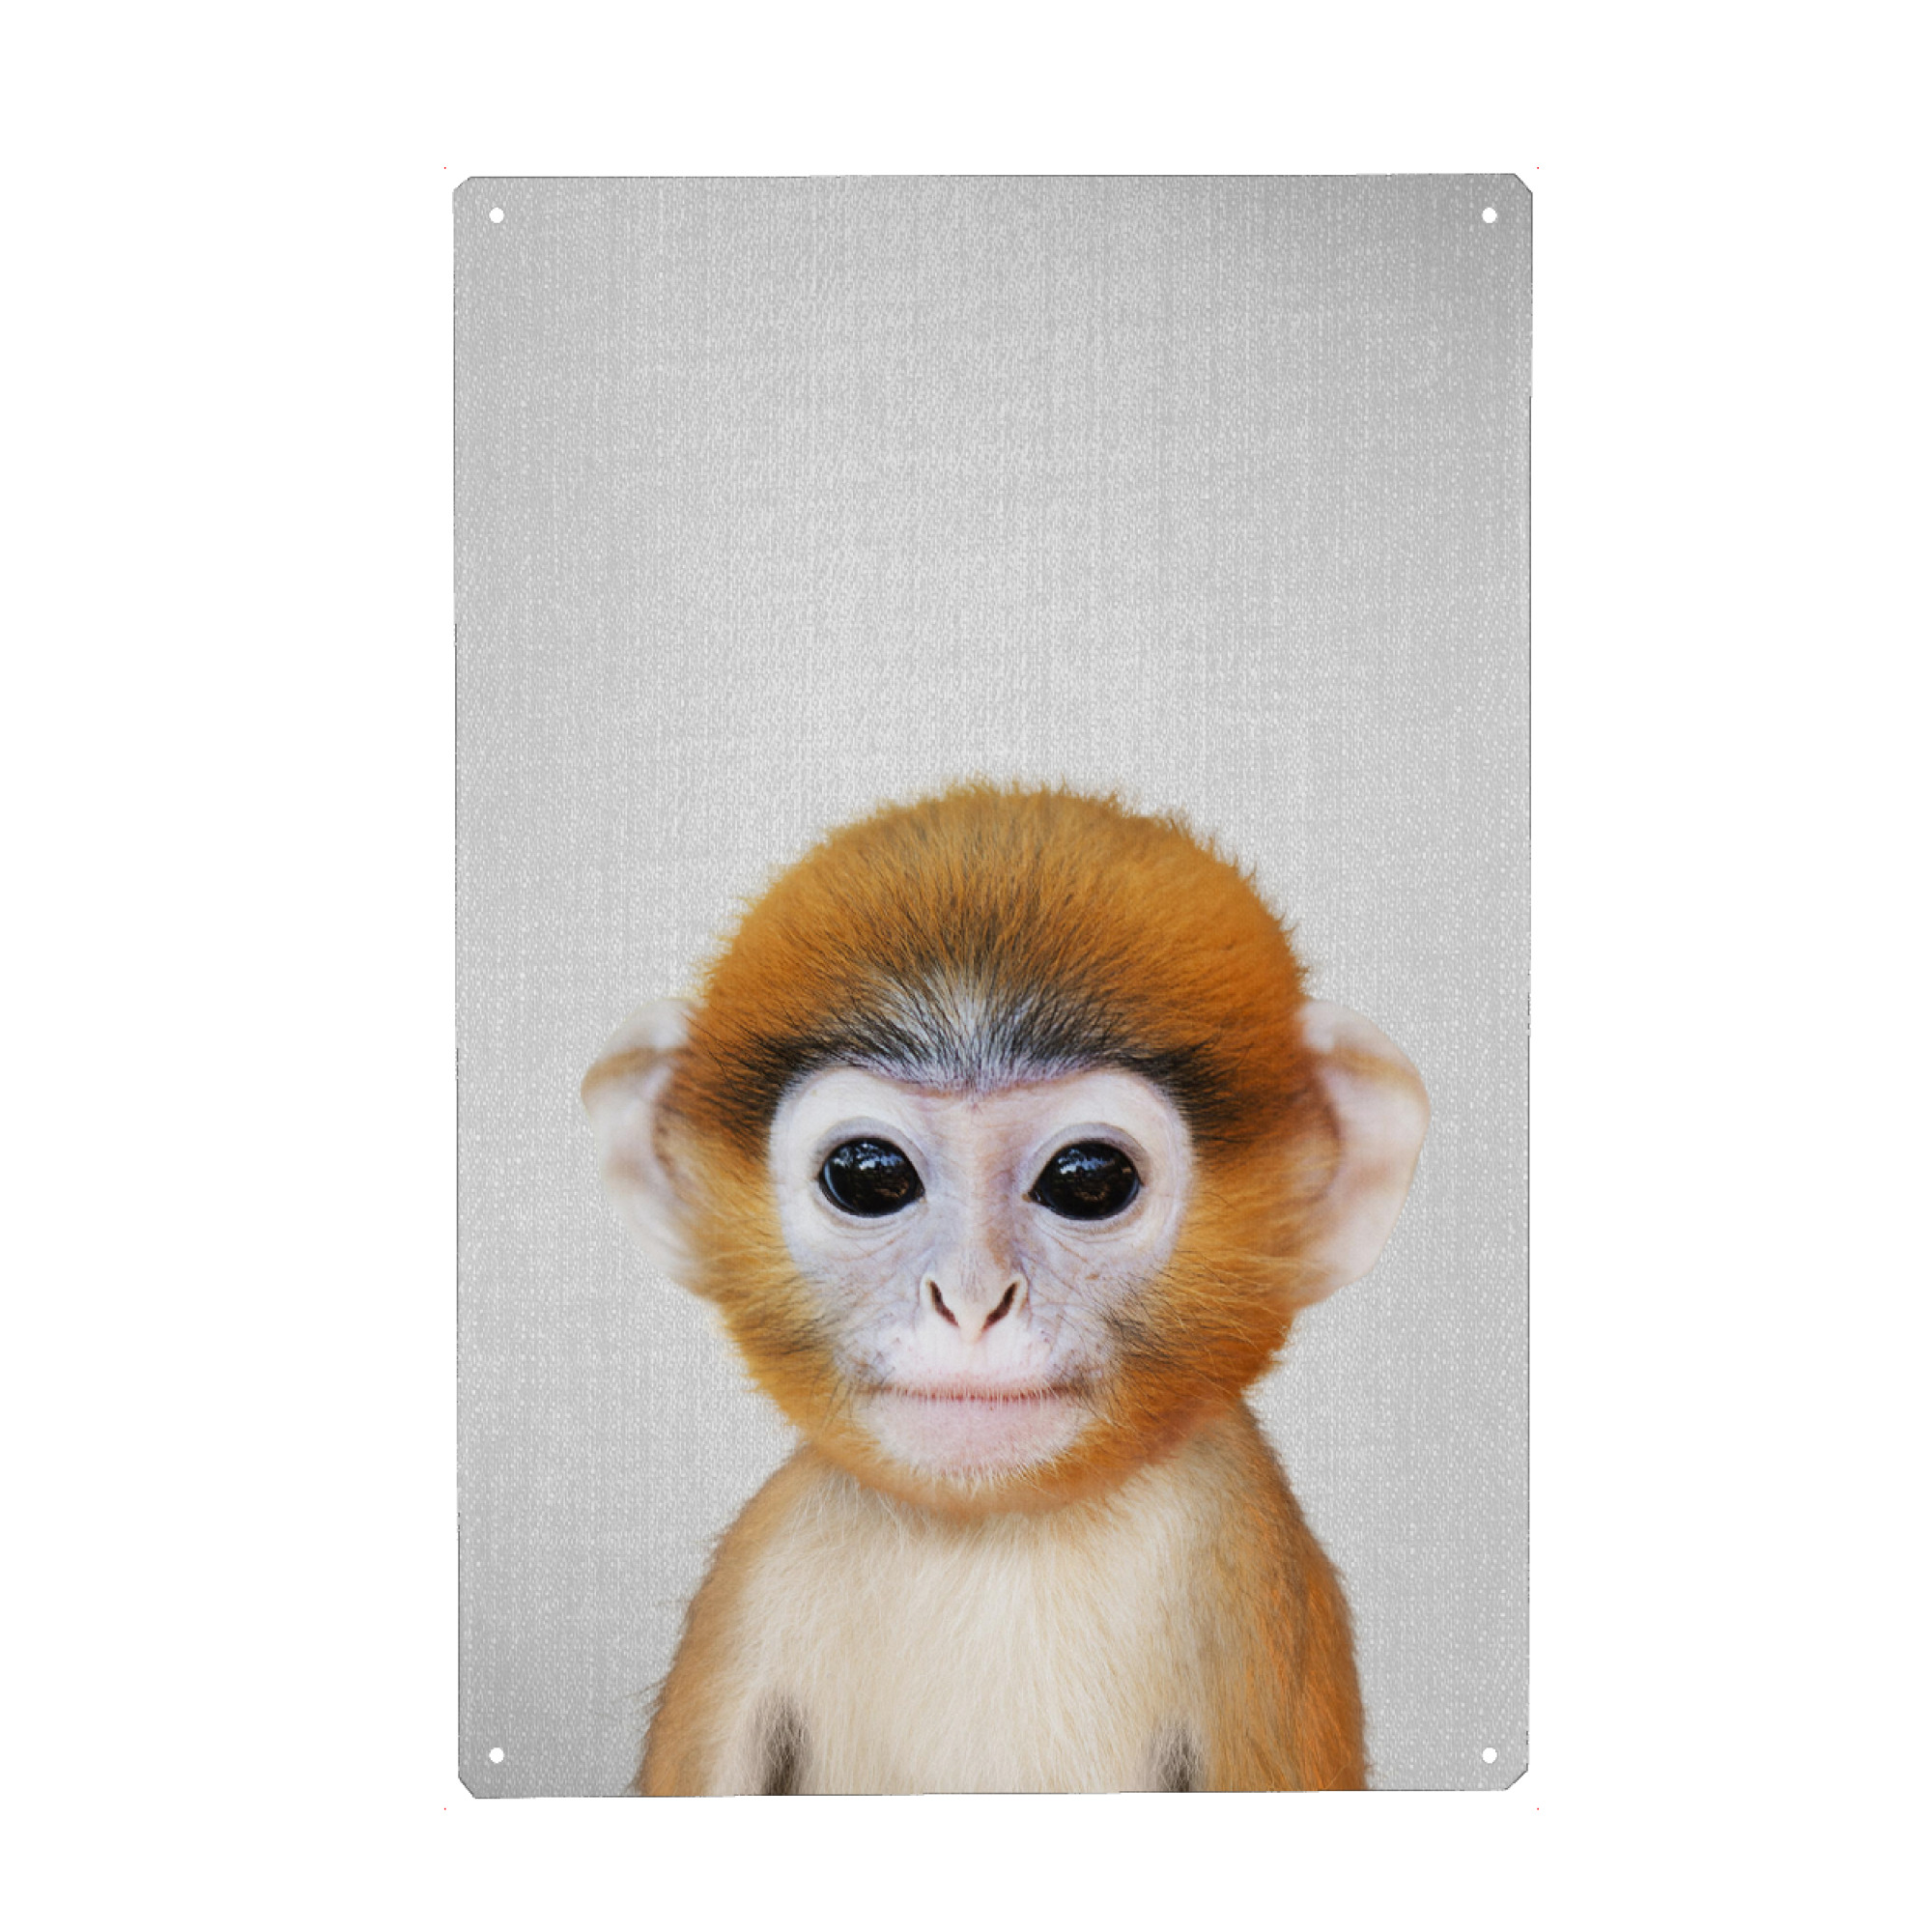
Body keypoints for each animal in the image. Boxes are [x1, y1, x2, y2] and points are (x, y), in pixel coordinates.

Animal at [582, 785, 1429, 1794]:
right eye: (869, 1175)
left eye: (1089, 1180)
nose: (972, 1301)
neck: (994, 1532)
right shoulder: (752, 1582)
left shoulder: (1247, 1570)